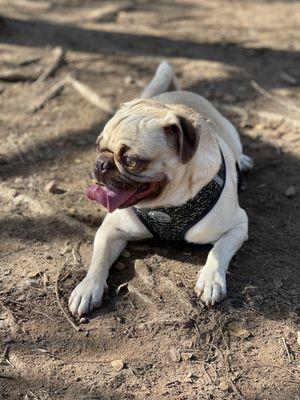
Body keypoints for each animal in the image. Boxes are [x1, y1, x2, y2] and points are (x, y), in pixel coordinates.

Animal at [68, 61, 253, 316]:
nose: (101, 163)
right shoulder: (111, 229)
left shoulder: (238, 225)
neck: (165, 206)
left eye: (131, 161)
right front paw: (87, 288)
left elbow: (217, 251)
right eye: (98, 146)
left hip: (231, 132)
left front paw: (210, 280)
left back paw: (242, 161)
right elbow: (99, 259)